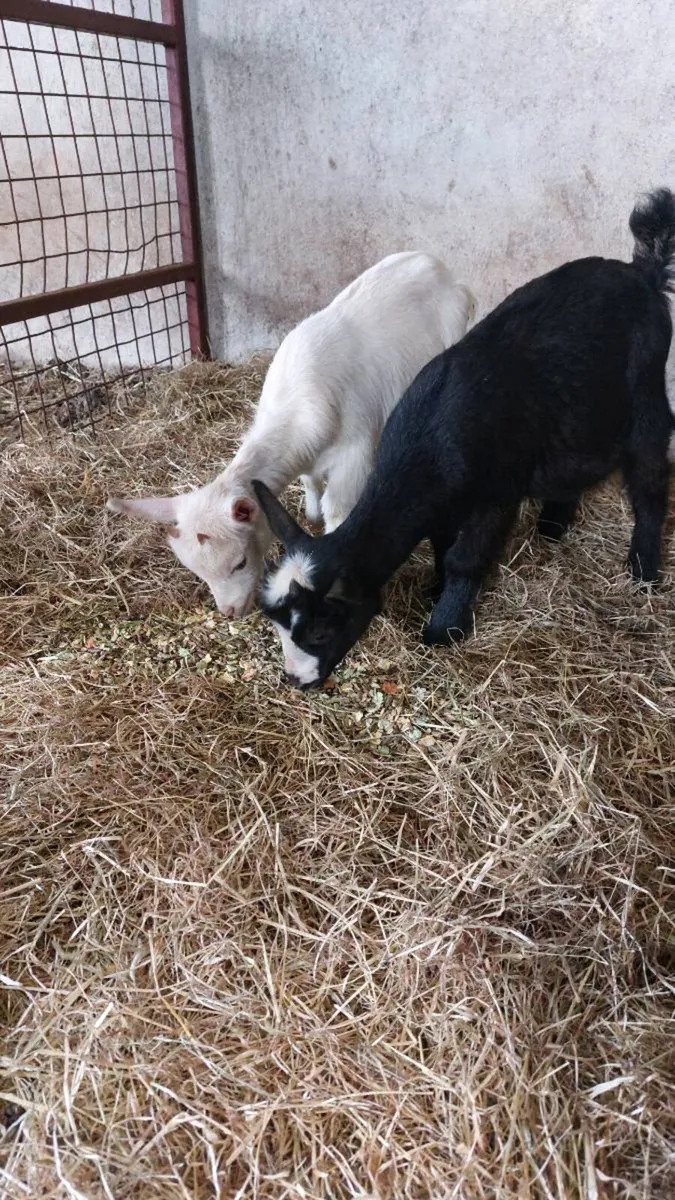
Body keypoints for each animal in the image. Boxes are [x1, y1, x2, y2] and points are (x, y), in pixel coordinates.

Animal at [106, 253, 474, 617]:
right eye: (199, 572)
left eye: (240, 562)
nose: (230, 611)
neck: (293, 411)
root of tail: (439, 267)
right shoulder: (309, 455)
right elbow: (310, 485)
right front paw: (310, 515)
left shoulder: (353, 455)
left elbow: (337, 511)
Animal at [255, 189, 675, 689]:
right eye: (278, 626)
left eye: (321, 629)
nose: (297, 681)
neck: (427, 449)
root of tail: (642, 271)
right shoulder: (443, 500)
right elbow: (440, 544)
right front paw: (435, 589)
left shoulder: (495, 495)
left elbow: (464, 558)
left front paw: (444, 625)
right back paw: (554, 525)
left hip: (647, 395)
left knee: (649, 480)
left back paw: (643, 569)